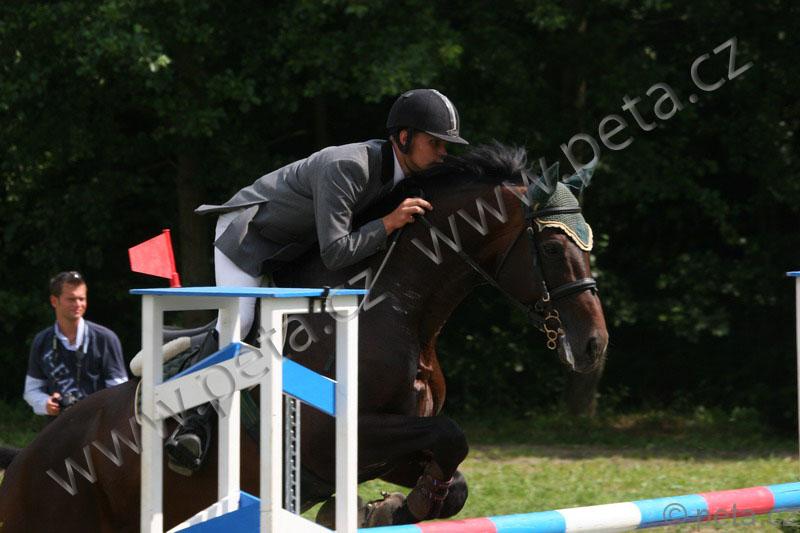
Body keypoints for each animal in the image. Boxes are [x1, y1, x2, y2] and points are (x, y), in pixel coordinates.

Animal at [0, 143, 608, 531]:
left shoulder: (391, 447)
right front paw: (375, 510)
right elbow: (450, 436)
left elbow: (450, 471)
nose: (595, 346)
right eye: (553, 247)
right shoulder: (333, 438)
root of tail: (29, 456)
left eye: (590, 240)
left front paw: (384, 509)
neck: (398, 311)